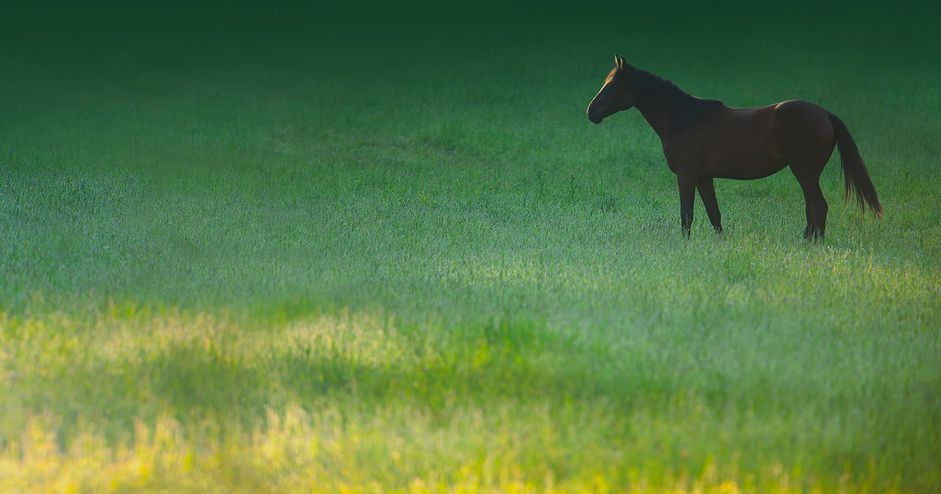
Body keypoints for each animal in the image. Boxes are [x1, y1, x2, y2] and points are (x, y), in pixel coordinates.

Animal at [588, 56, 880, 239]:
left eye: (613, 85)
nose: (591, 112)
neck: (683, 117)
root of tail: (825, 114)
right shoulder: (704, 178)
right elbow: (714, 214)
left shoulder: (686, 175)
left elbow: (686, 215)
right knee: (812, 208)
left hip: (805, 172)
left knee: (818, 206)